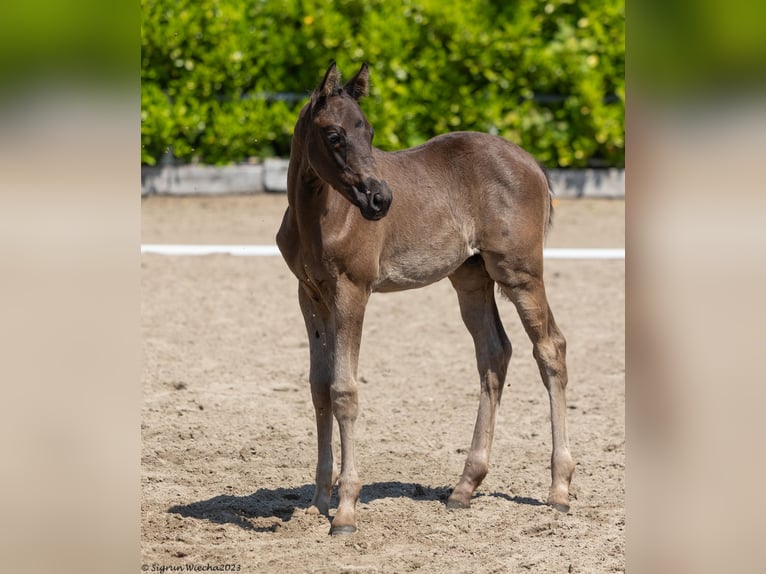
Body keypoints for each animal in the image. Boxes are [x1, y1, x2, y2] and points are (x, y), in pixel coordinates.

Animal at [278, 63, 576, 536]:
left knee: (550, 347)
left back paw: (559, 490)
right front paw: (318, 500)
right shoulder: (310, 295)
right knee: (495, 354)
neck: (321, 216)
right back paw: (464, 487)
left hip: (520, 273)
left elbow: (344, 391)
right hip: (471, 278)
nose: (380, 198)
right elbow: (319, 387)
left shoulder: (352, 291)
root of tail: (531, 163)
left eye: (370, 131)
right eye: (334, 135)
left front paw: (345, 510)